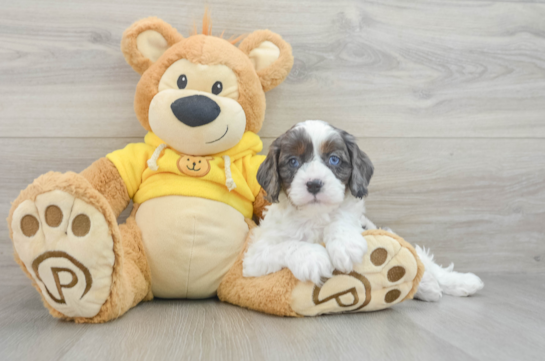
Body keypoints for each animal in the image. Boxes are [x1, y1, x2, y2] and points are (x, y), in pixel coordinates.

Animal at [243, 120, 374, 284]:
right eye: (293, 161)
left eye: (334, 159)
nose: (314, 184)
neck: (313, 215)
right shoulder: (255, 256)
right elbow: (287, 245)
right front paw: (312, 258)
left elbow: (343, 217)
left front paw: (345, 243)